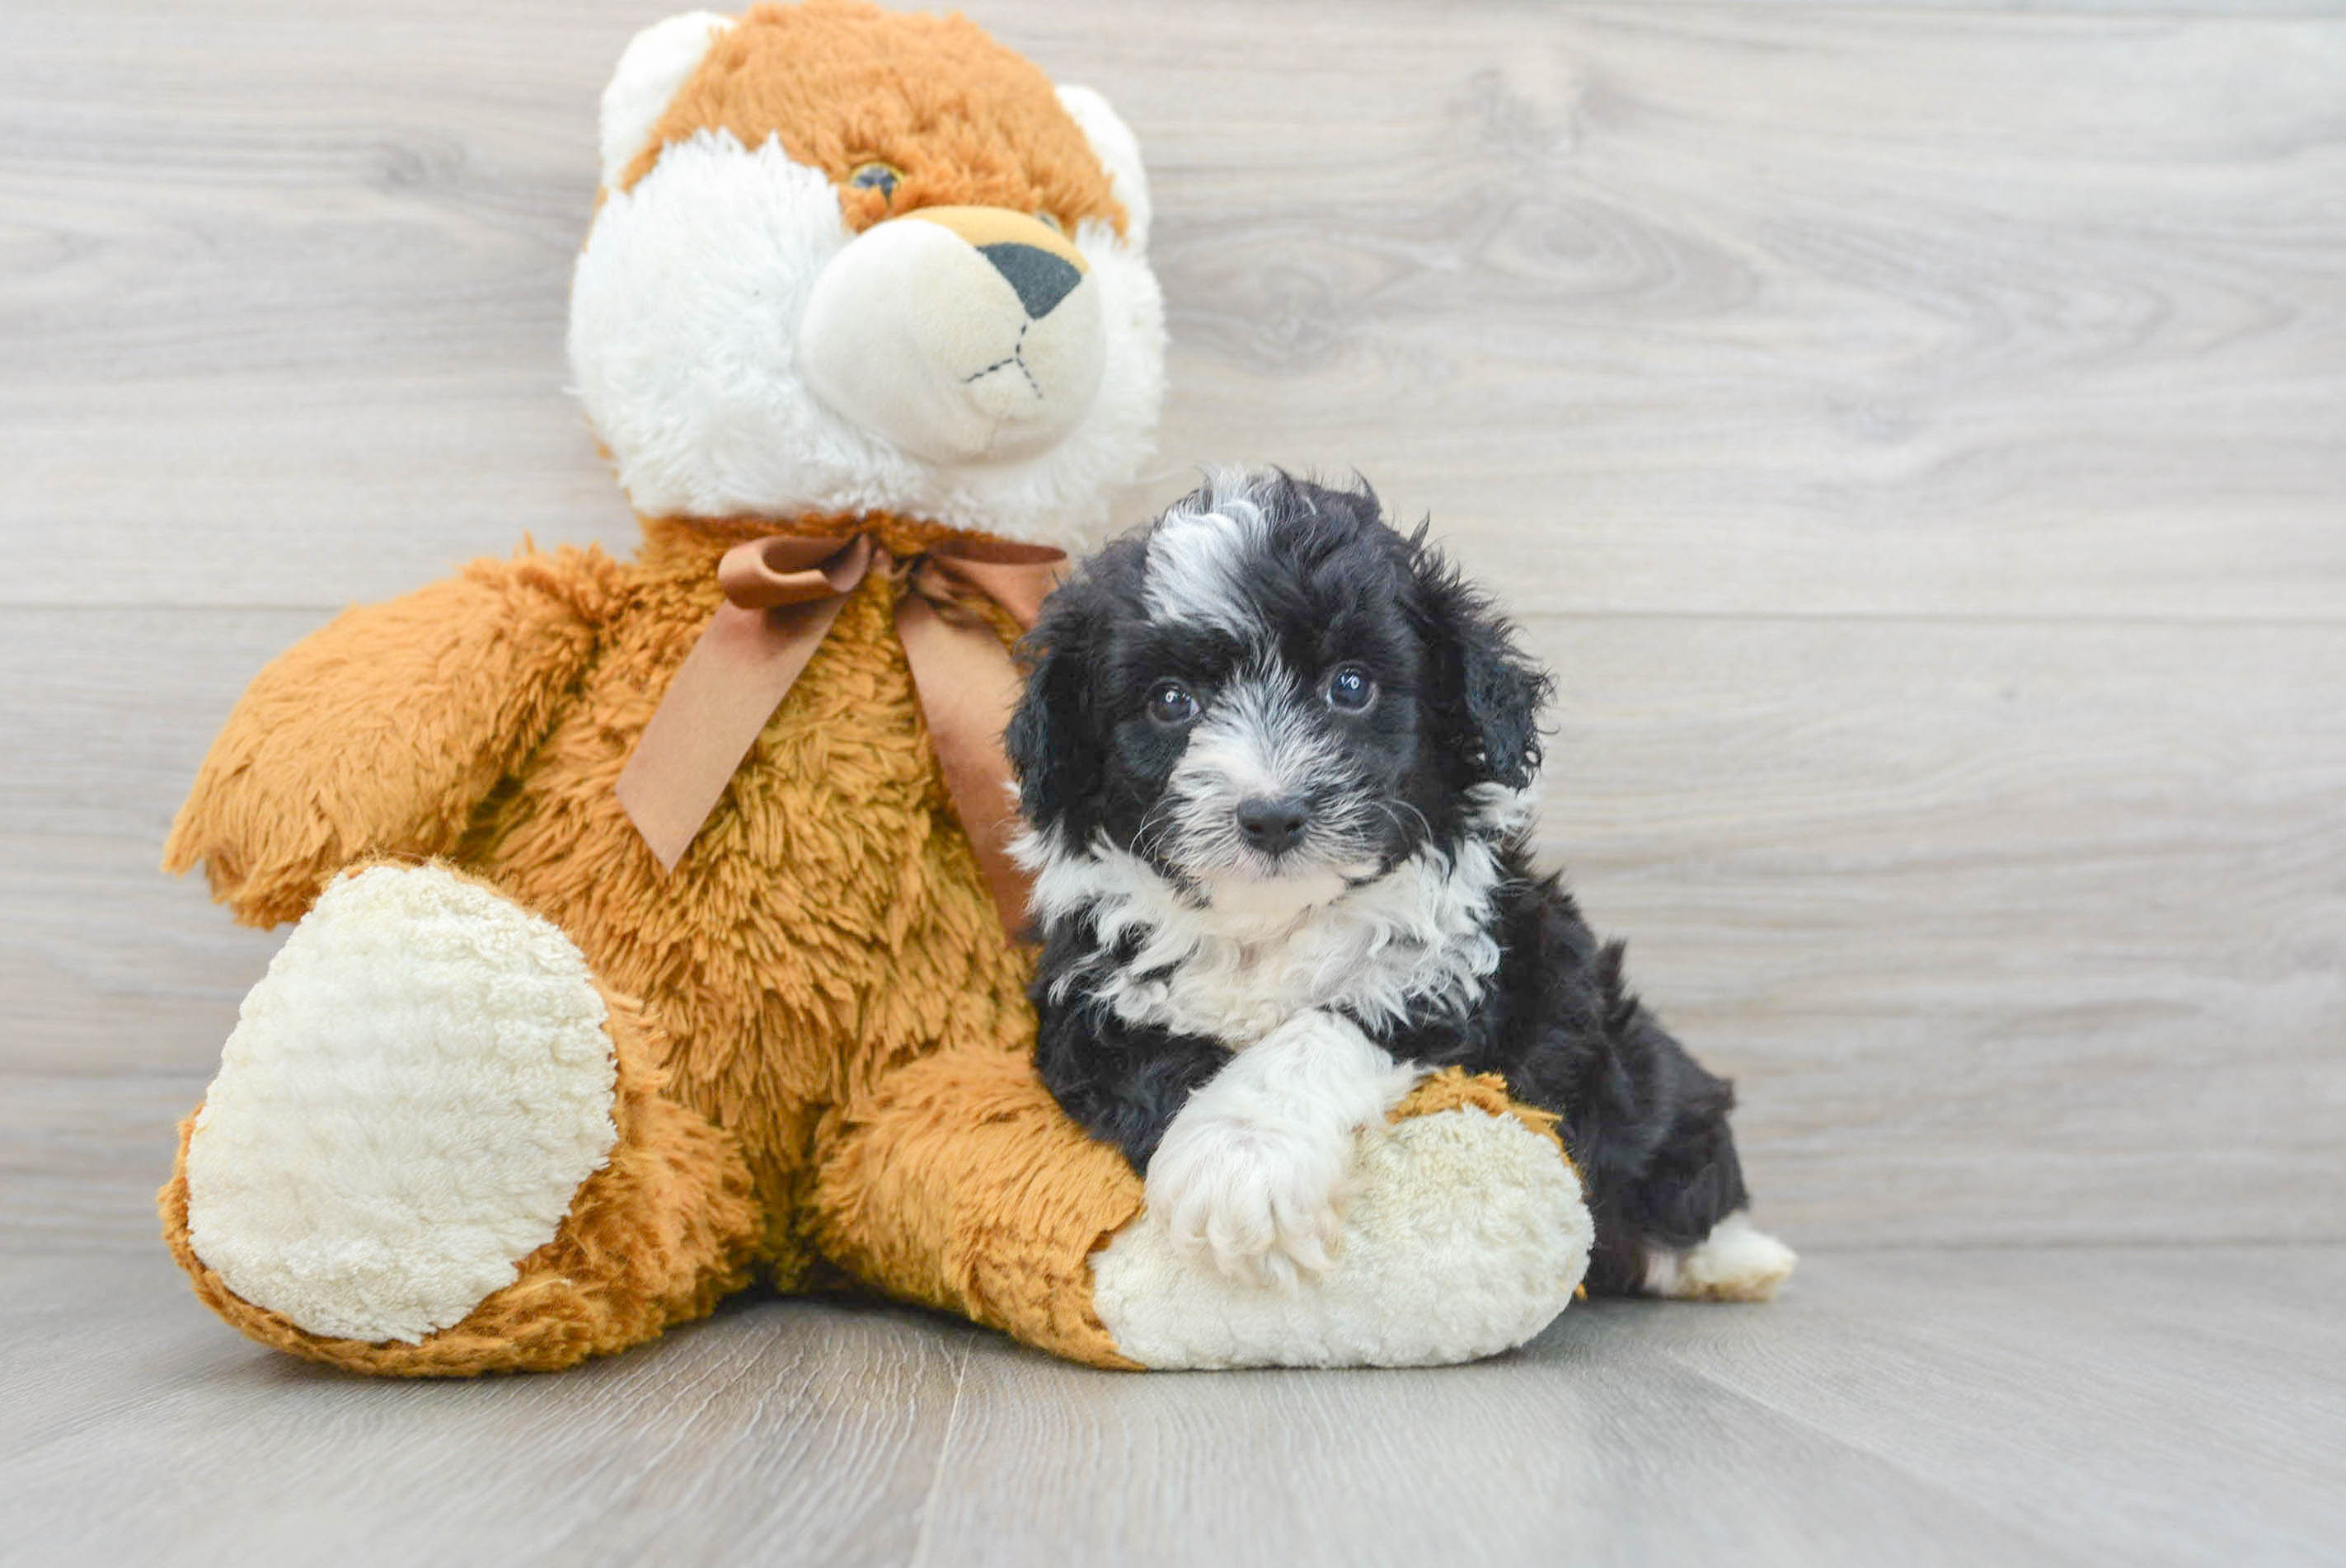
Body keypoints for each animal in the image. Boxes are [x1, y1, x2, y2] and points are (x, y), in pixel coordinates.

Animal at [1008, 472, 1792, 1305]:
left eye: (1350, 686)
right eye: (1169, 701)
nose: (1272, 815)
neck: (1273, 922)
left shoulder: (1484, 969)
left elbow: (1330, 1024)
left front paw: (1244, 1160)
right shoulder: (1093, 993)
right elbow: (1154, 1057)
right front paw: (1227, 1166)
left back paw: (1735, 1261)